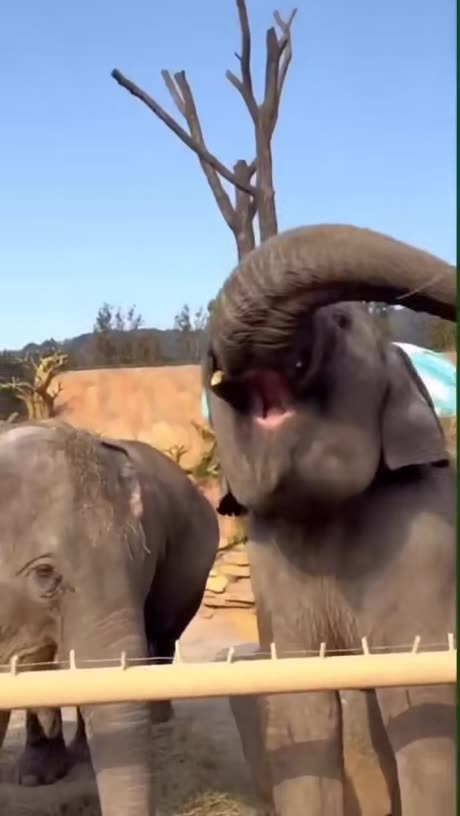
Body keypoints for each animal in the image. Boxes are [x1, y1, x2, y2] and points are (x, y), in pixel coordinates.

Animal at [0, 420, 219, 816]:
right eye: (44, 574)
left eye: (140, 560)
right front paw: (37, 777)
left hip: (191, 561)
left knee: (163, 632)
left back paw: (155, 720)